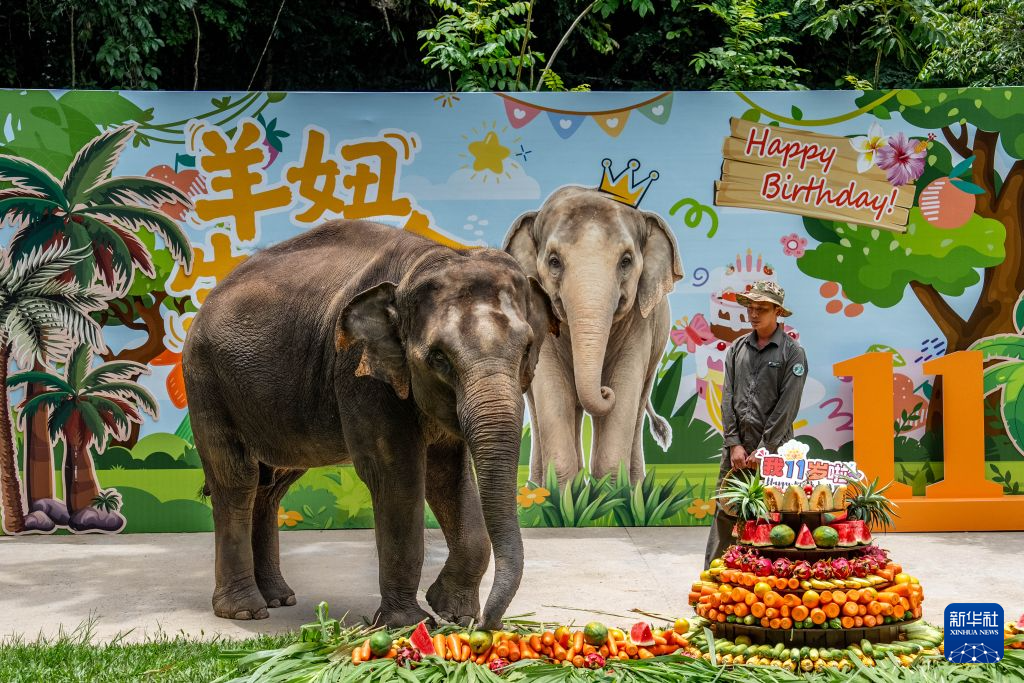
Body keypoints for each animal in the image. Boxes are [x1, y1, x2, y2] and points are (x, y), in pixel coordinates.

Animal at [183, 219, 557, 628]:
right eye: (439, 358)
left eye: (527, 349)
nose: (491, 624)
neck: (425, 259)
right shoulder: (358, 370)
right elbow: (397, 473)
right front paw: (409, 623)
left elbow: (448, 475)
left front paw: (452, 613)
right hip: (205, 380)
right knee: (237, 479)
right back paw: (245, 611)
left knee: (271, 487)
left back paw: (279, 598)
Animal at [503, 186, 683, 486]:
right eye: (554, 261)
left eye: (626, 261)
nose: (603, 390)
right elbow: (553, 388)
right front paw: (561, 495)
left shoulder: (641, 322)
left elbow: (624, 387)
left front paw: (613, 495)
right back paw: (537, 488)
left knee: (636, 406)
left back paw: (636, 487)